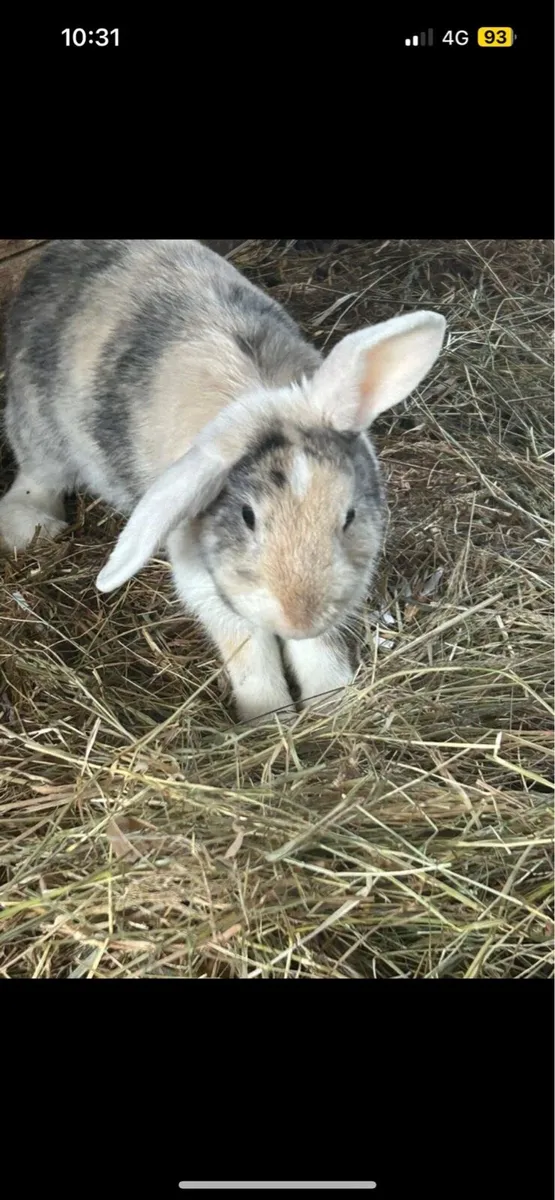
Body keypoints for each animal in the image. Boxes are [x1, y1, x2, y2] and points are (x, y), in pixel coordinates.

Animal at [0, 239, 446, 723]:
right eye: (248, 516)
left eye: (348, 516)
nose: (299, 617)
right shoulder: (205, 583)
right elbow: (249, 651)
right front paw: (269, 720)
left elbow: (319, 649)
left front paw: (334, 703)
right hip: (39, 429)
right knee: (36, 476)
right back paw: (31, 526)